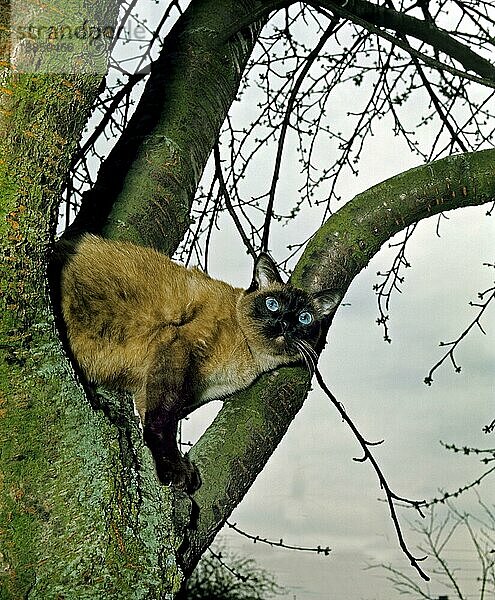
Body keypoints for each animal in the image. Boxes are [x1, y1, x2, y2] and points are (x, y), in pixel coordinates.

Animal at [58, 234, 342, 492]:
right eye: (272, 304)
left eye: (304, 318)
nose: (284, 324)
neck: (252, 358)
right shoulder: (179, 351)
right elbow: (162, 422)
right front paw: (176, 471)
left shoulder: (174, 392)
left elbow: (154, 418)